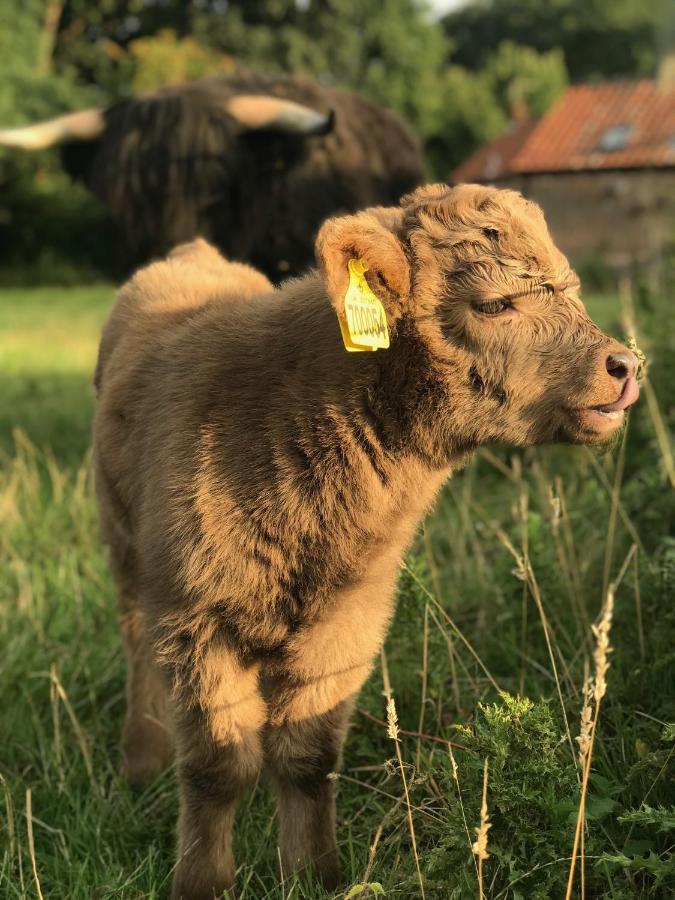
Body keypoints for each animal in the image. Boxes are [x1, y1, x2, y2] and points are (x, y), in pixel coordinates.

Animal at [93, 185, 640, 900]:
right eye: (495, 303)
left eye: (570, 289)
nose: (625, 365)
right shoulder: (195, 618)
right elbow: (218, 765)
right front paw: (201, 883)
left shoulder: (350, 620)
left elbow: (307, 754)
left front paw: (313, 874)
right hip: (128, 553)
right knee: (136, 647)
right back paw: (141, 761)